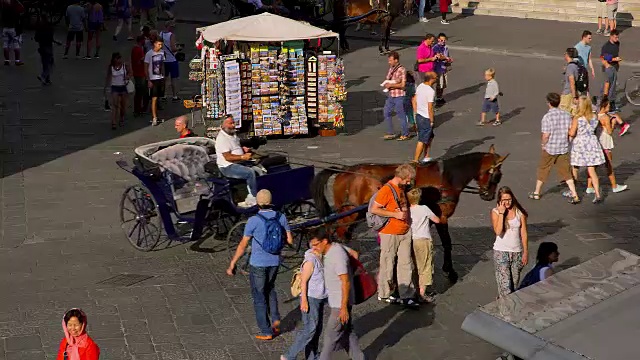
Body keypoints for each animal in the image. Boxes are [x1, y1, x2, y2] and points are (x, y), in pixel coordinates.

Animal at [312, 145, 510, 282]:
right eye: (497, 176)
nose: (489, 195)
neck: (446, 177)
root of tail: (342, 172)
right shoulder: (441, 217)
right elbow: (447, 244)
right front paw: (450, 271)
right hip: (349, 214)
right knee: (336, 233)